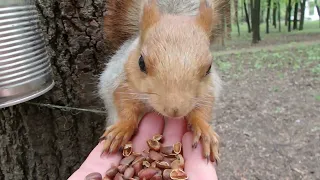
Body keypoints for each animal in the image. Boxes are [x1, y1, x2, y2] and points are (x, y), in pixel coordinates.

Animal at [99, 0, 222, 162]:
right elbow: (124, 104)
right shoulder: (122, 81)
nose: (174, 110)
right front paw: (122, 129)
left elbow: (204, 109)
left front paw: (203, 130)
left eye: (209, 68)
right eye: (141, 63)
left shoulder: (208, 90)